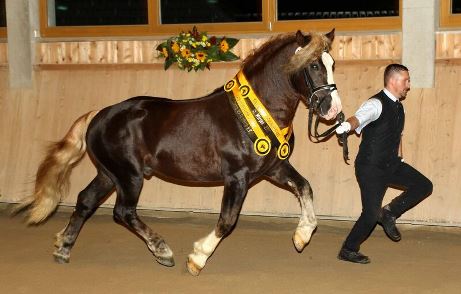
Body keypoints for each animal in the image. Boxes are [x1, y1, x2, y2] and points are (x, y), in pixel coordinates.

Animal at [15, 29, 342, 276]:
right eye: (314, 65)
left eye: (332, 64)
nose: (333, 110)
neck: (255, 113)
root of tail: (99, 115)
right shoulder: (237, 177)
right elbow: (227, 220)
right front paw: (197, 258)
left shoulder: (273, 168)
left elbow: (305, 187)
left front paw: (302, 236)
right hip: (129, 176)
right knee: (123, 212)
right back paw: (163, 251)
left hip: (110, 174)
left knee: (86, 201)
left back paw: (63, 248)